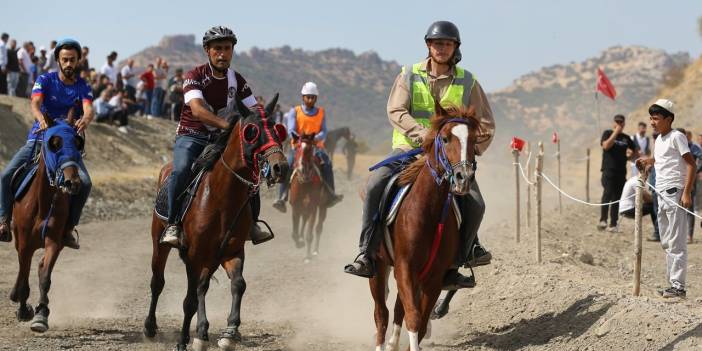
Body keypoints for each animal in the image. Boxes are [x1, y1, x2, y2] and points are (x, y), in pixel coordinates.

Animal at [9, 122, 85, 334]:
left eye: (77, 143)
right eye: (54, 144)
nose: (72, 183)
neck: (42, 203)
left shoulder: (54, 240)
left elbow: (45, 277)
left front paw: (41, 315)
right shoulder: (25, 244)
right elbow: (24, 275)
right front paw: (23, 309)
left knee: (41, 266)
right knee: (23, 269)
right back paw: (15, 295)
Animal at [144, 96, 290, 351]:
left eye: (276, 129)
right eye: (252, 131)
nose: (280, 167)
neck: (221, 198)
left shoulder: (231, 251)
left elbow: (238, 284)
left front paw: (229, 333)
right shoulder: (195, 255)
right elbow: (190, 299)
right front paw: (183, 341)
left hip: (211, 257)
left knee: (203, 286)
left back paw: (201, 331)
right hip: (160, 243)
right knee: (158, 282)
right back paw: (151, 327)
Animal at [288, 133, 328, 262]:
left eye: (310, 149)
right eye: (297, 147)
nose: (303, 170)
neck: (305, 183)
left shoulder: (313, 208)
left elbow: (310, 234)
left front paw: (307, 257)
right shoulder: (295, 207)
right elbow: (294, 233)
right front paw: (299, 243)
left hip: (322, 207)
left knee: (318, 228)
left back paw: (315, 251)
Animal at [372, 104, 482, 351]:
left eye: (474, 140)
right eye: (445, 138)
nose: (463, 178)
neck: (428, 214)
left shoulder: (433, 277)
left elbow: (420, 321)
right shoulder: (405, 267)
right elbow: (413, 317)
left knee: (397, 310)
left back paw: (392, 344)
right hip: (378, 267)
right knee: (381, 313)